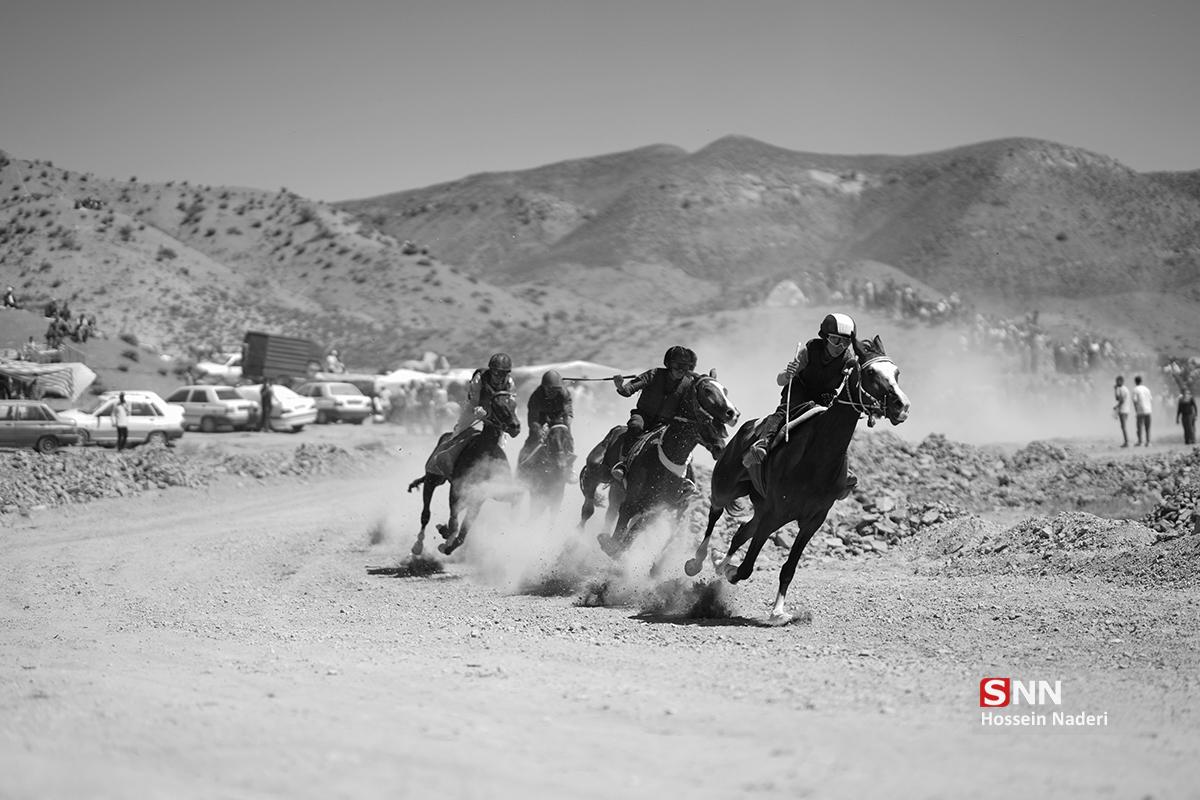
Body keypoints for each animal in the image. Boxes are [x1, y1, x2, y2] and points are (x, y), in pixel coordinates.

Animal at [408, 388, 520, 556]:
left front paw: (447, 544)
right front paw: (444, 535)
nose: (516, 427)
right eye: (498, 406)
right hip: (433, 478)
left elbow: (462, 533)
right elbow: (454, 523)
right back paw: (418, 544)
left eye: (514, 404)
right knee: (426, 514)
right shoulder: (456, 489)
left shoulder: (481, 495)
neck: (484, 451)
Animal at [592, 374, 739, 556]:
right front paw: (608, 543)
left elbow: (632, 533)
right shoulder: (631, 502)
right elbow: (621, 528)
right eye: (707, 390)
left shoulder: (655, 509)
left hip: (619, 492)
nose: (733, 413)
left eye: (725, 390)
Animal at [686, 335, 907, 628]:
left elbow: (788, 568)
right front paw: (732, 571)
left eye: (896, 372)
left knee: (741, 531)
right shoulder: (774, 514)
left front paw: (778, 611)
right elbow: (746, 567)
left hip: (761, 507)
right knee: (715, 515)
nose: (901, 406)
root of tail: (746, 429)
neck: (818, 457)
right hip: (726, 487)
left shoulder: (812, 520)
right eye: (871, 373)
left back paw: (720, 561)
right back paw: (699, 560)